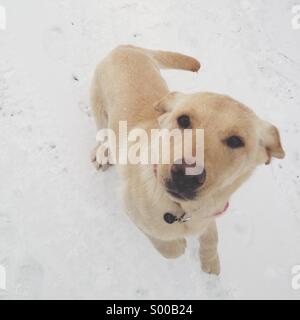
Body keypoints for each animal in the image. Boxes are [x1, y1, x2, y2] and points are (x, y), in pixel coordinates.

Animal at [90, 45, 284, 276]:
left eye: (236, 140)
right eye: (183, 119)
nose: (186, 174)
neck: (184, 209)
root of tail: (128, 47)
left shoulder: (210, 213)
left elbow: (212, 236)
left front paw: (210, 261)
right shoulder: (131, 209)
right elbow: (170, 248)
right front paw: (178, 243)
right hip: (100, 110)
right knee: (104, 134)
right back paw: (103, 152)